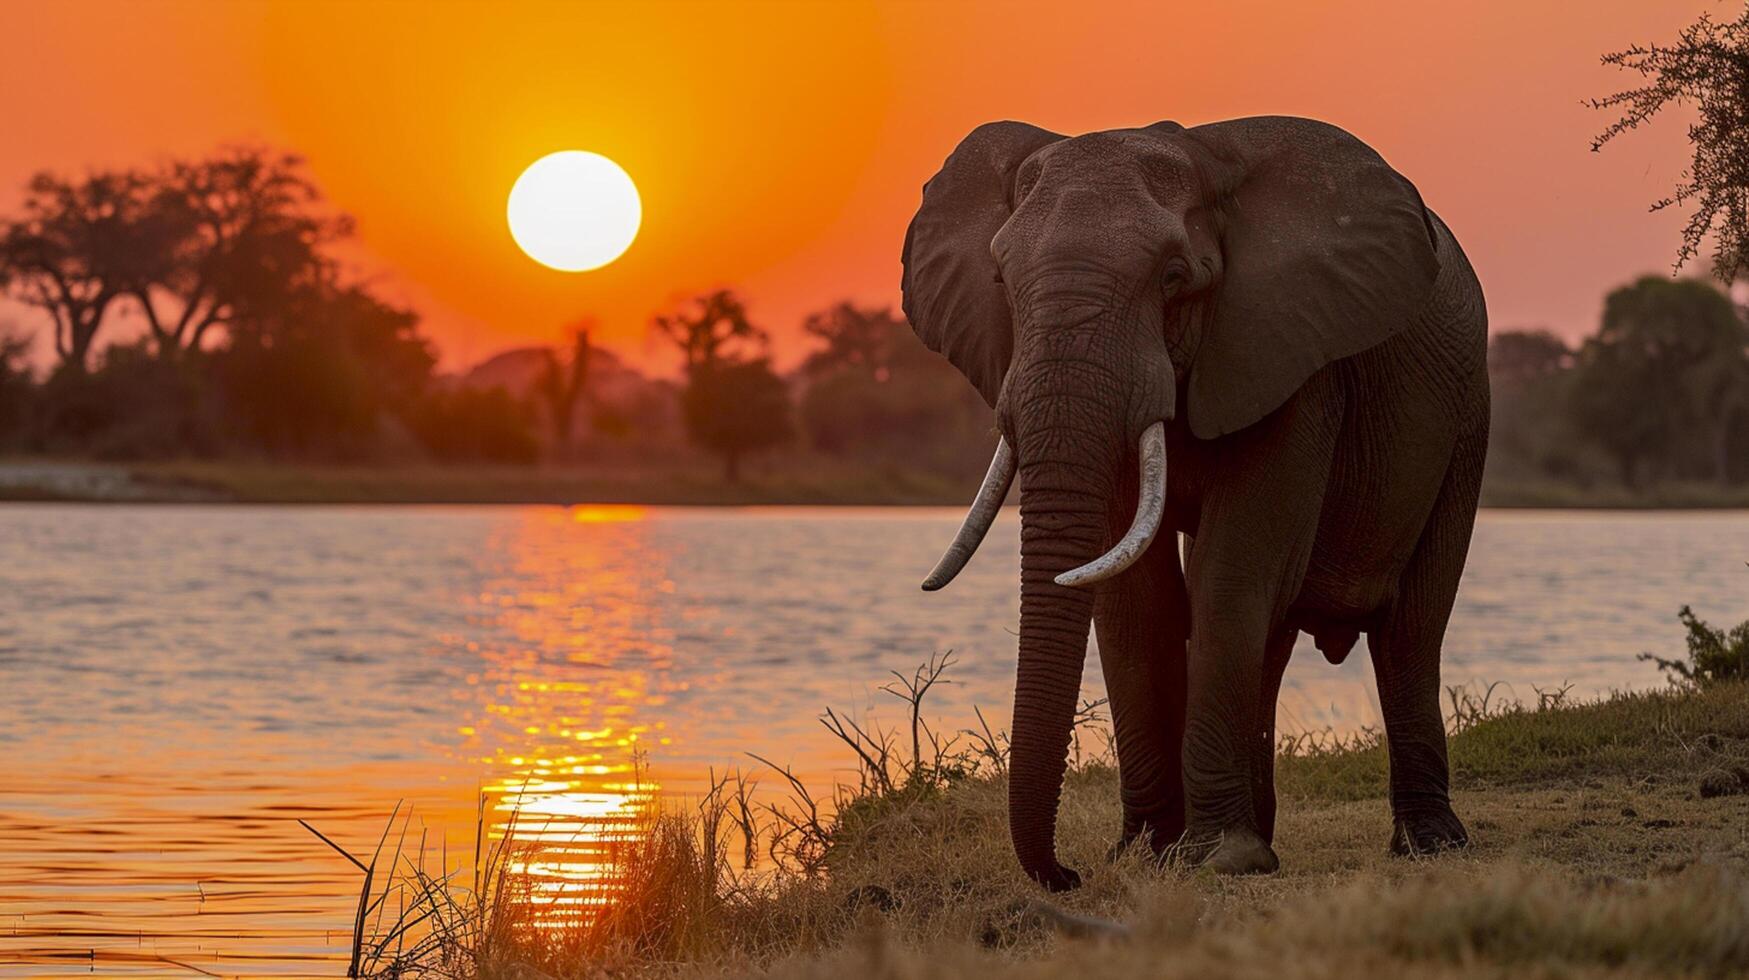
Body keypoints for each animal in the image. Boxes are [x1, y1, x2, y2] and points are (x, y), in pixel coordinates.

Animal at [902, 114, 1490, 889]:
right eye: (1001, 280)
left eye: (1174, 279)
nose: (1068, 876)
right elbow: (1135, 596)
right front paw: (1149, 853)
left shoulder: (1289, 355)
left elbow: (1229, 572)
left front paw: (1216, 860)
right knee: (1276, 633)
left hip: (1468, 420)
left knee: (1410, 630)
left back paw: (1428, 844)